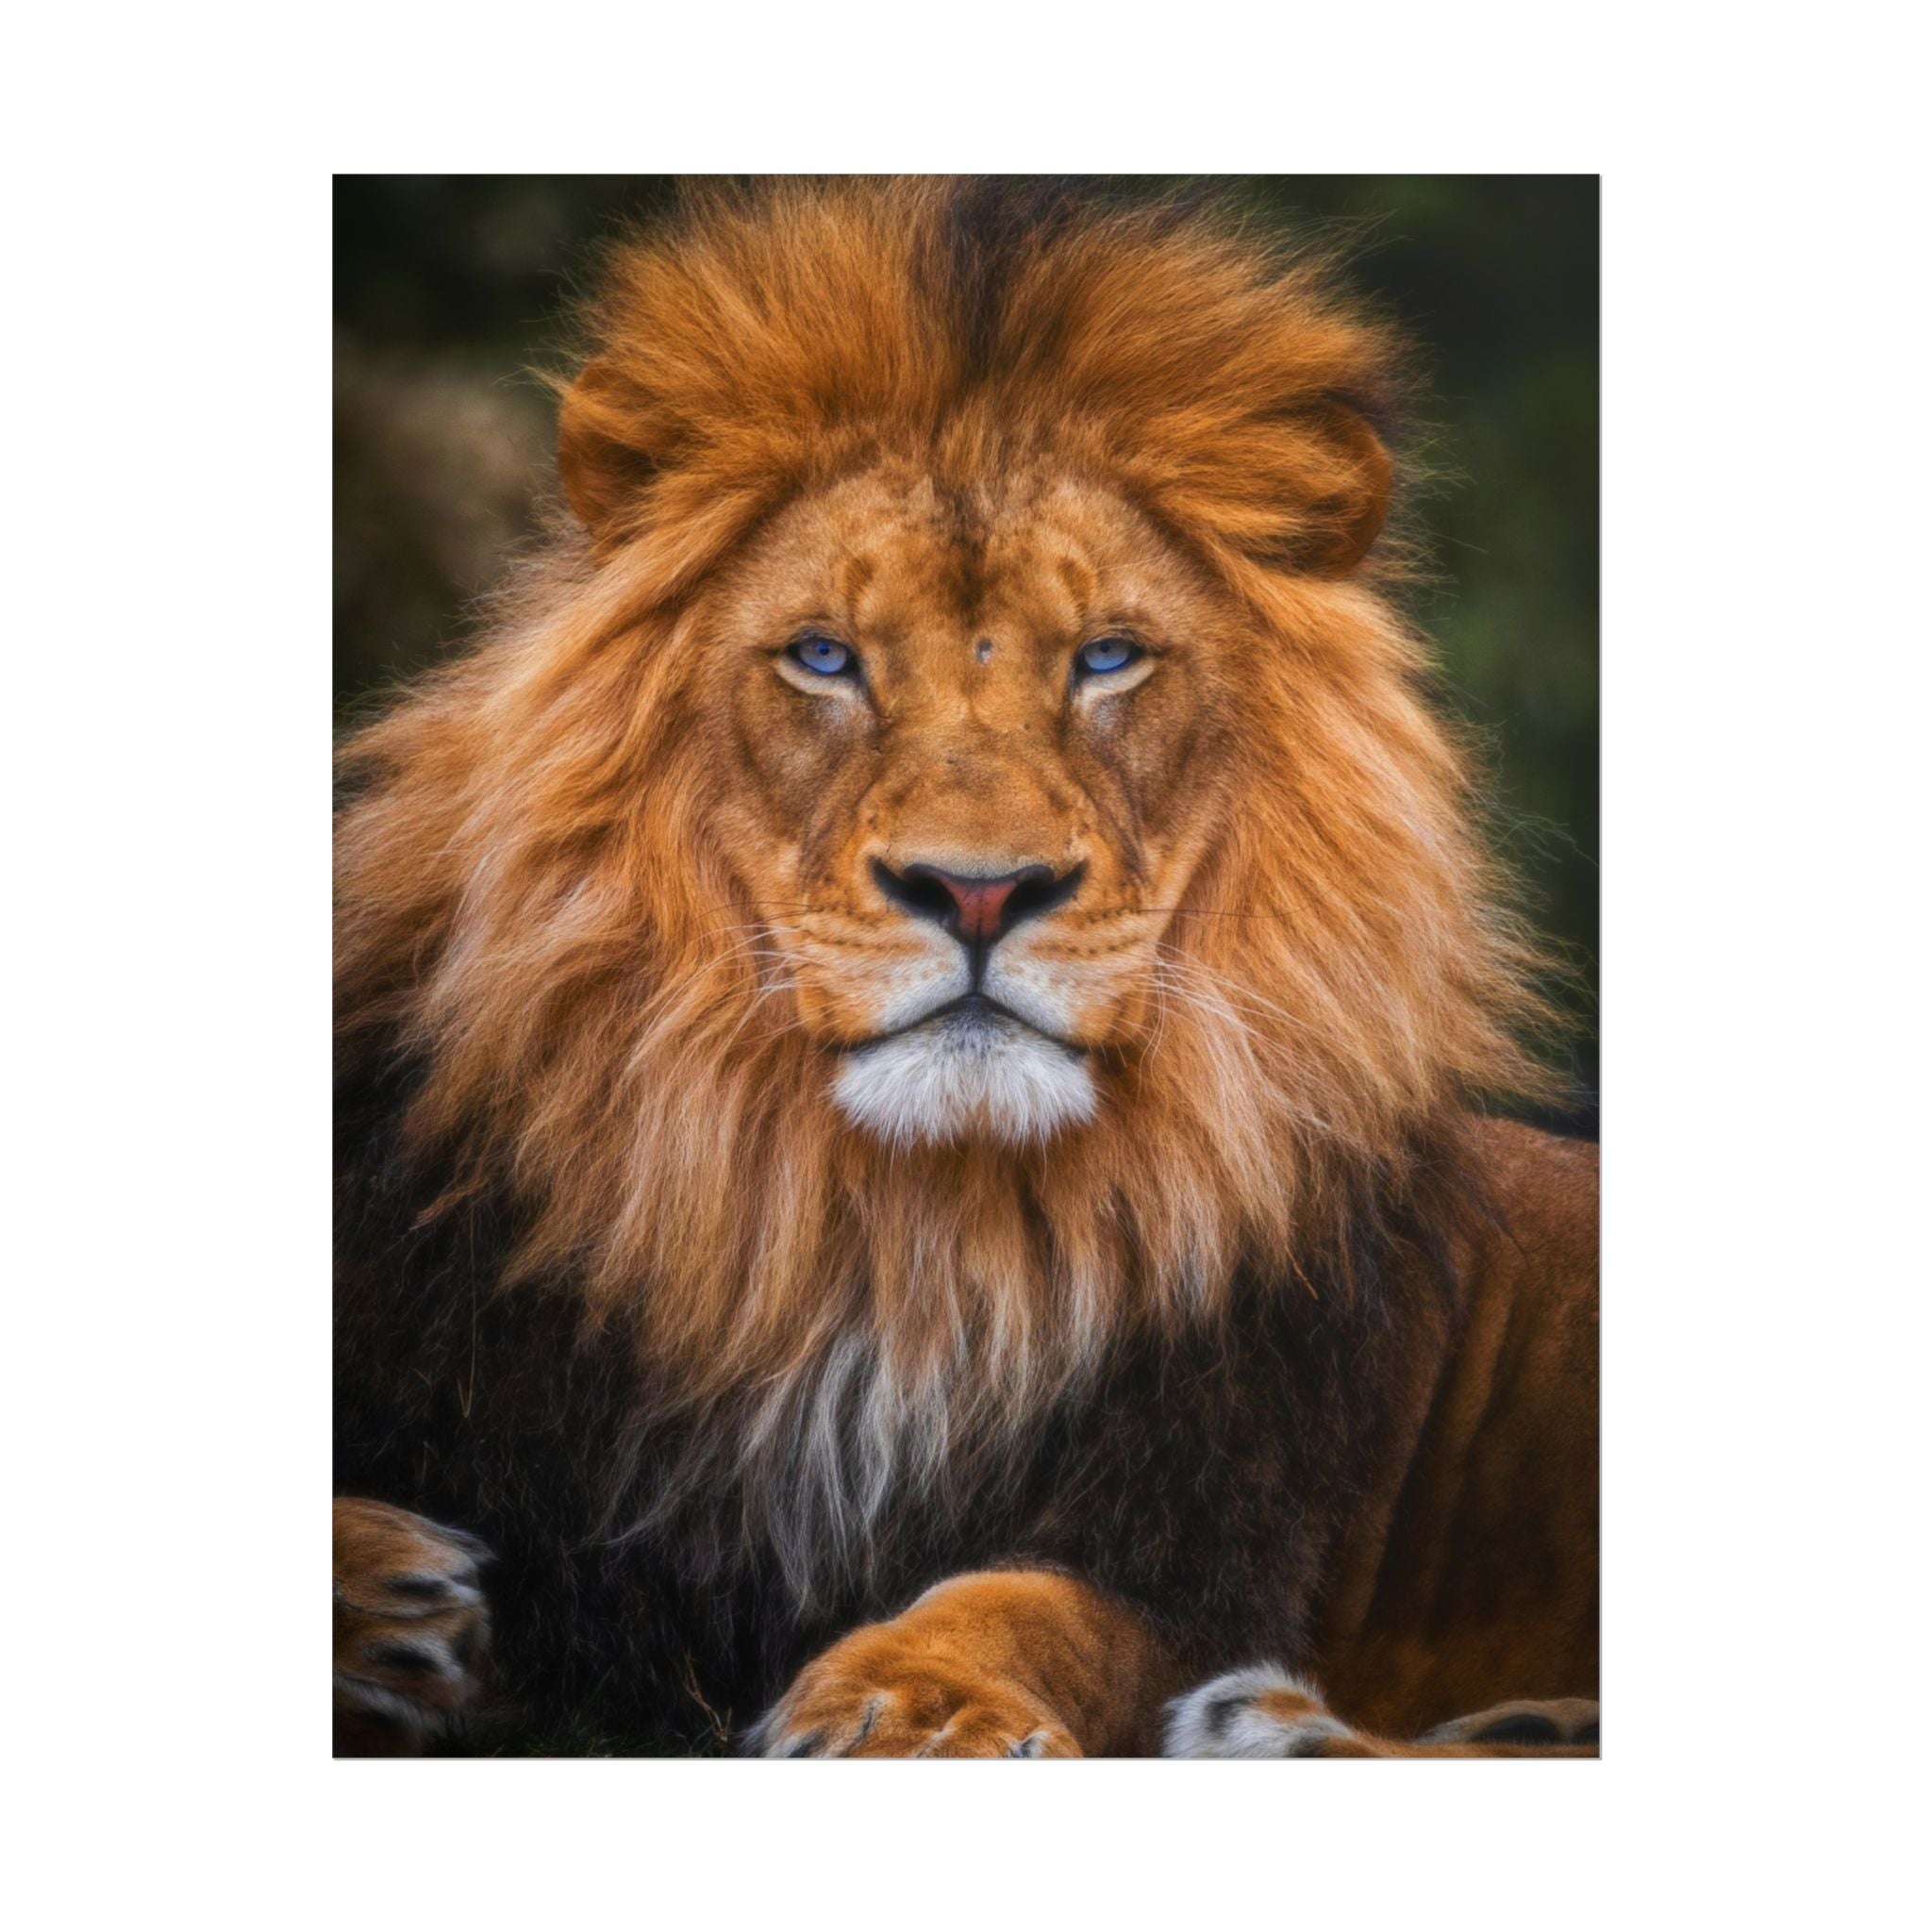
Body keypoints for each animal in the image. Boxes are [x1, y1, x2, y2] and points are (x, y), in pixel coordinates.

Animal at [333, 177, 1598, 1758]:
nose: (980, 890)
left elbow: (1039, 1603)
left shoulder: (1205, 1537)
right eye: (823, 657)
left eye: (1108, 658)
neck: (893, 1241)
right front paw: (382, 1595)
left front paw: (911, 1704)